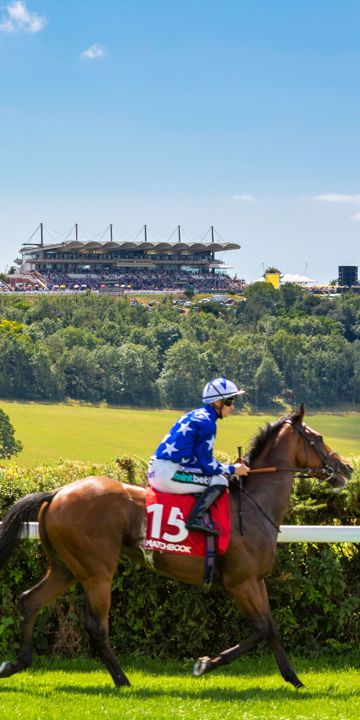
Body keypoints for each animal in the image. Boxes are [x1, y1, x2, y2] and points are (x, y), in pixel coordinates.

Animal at [0, 404, 352, 688]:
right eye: (319, 437)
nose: (346, 468)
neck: (254, 505)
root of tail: (57, 493)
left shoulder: (256, 580)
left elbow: (269, 628)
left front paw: (292, 678)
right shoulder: (242, 582)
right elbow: (263, 628)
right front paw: (207, 664)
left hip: (66, 567)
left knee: (30, 600)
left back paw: (15, 663)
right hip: (97, 571)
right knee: (97, 627)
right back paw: (122, 680)